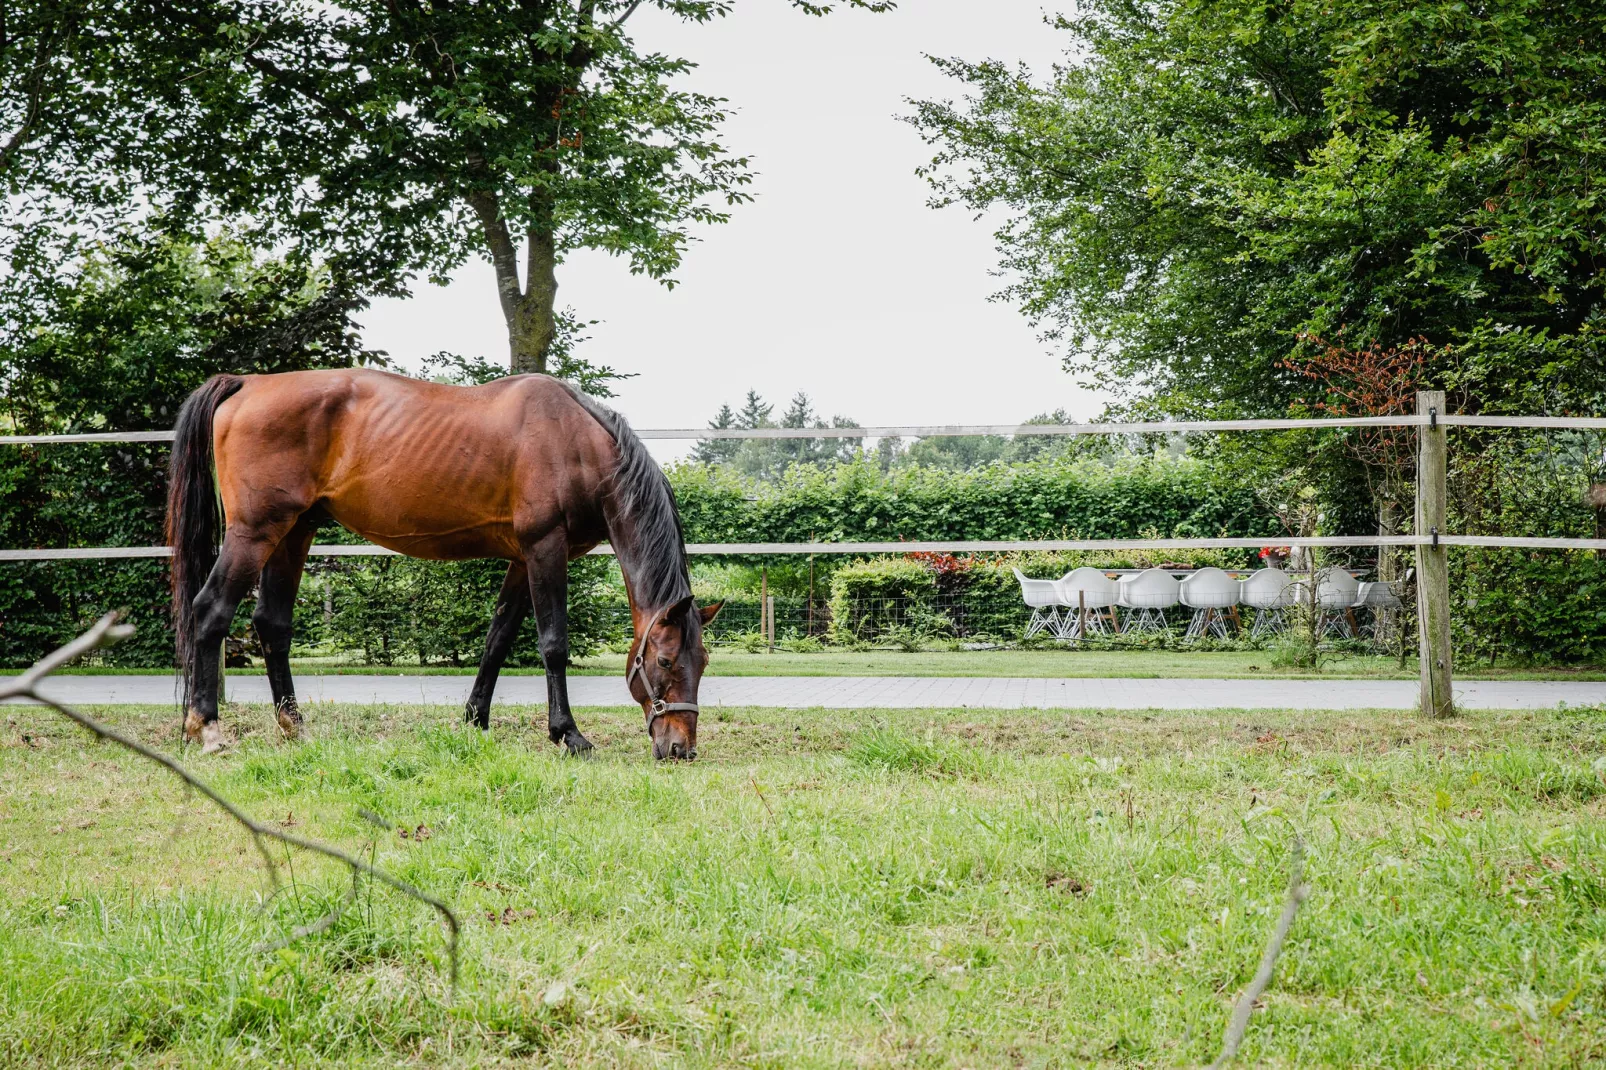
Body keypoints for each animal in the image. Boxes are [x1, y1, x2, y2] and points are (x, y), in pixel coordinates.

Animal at [163, 366, 716, 758]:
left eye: (703, 661)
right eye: (665, 661)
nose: (680, 748)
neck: (576, 443)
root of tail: (248, 384)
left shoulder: (523, 560)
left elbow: (497, 639)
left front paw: (474, 719)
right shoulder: (545, 549)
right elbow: (552, 643)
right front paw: (568, 734)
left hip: (293, 532)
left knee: (272, 624)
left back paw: (295, 727)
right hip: (254, 533)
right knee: (211, 610)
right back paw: (206, 728)